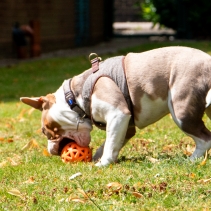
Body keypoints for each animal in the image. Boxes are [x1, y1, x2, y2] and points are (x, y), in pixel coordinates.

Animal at [20, 46, 211, 166]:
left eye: (45, 131)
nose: (51, 150)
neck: (74, 98)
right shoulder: (125, 126)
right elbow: (110, 143)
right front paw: (98, 158)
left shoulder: (118, 114)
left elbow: (110, 143)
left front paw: (103, 163)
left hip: (181, 112)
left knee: (204, 138)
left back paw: (191, 160)